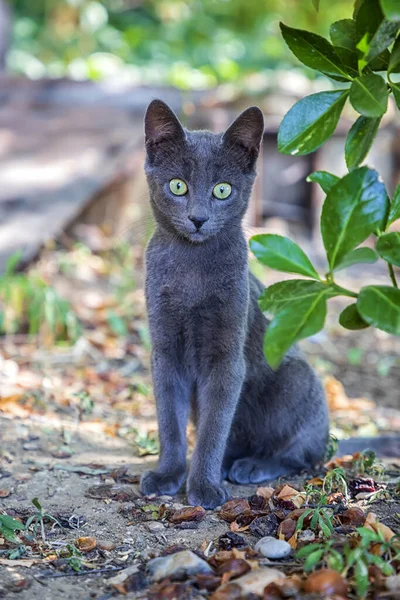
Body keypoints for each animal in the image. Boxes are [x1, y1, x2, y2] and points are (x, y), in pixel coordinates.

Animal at [140, 101, 328, 508]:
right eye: (178, 186)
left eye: (222, 190)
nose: (198, 218)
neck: (191, 271)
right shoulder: (164, 349)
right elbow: (169, 420)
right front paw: (168, 475)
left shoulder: (227, 357)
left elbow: (214, 427)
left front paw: (205, 487)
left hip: (296, 376)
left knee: (304, 453)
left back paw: (249, 466)